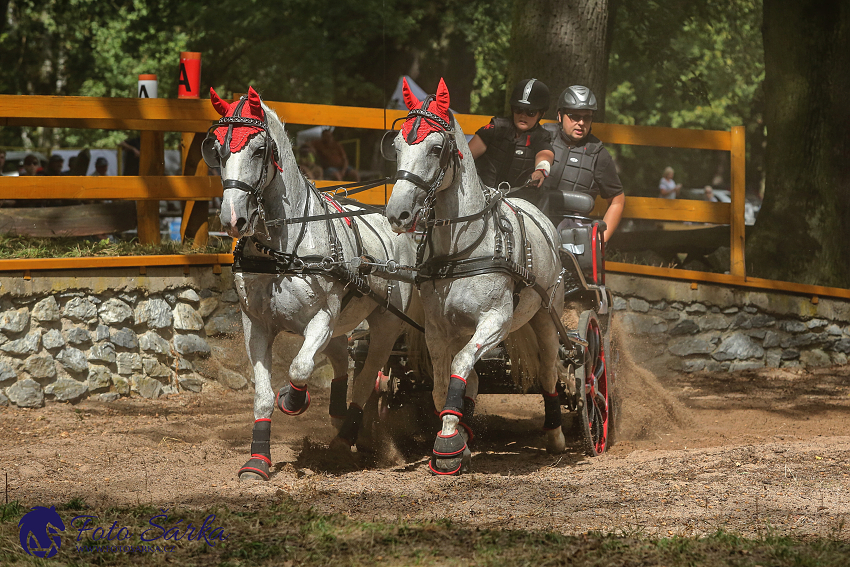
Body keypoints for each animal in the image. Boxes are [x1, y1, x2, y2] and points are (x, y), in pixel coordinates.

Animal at [205, 86, 418, 482]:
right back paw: (338, 416)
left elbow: (300, 368)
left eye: (259, 150)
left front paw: (292, 399)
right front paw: (257, 461)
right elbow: (262, 394)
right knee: (340, 359)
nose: (232, 218)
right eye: (218, 150)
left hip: (385, 324)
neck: (282, 248)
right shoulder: (256, 325)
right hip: (343, 322)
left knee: (365, 379)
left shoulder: (321, 318)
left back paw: (345, 438)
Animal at [386, 79, 572, 474]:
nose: (397, 213)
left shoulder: (495, 321)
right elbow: (445, 384)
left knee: (549, 372)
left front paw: (448, 443)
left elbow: (459, 367)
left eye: (436, 147)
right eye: (396, 147)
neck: (461, 248)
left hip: (546, 317)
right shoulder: (438, 329)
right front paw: (457, 436)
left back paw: (555, 435)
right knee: (471, 380)